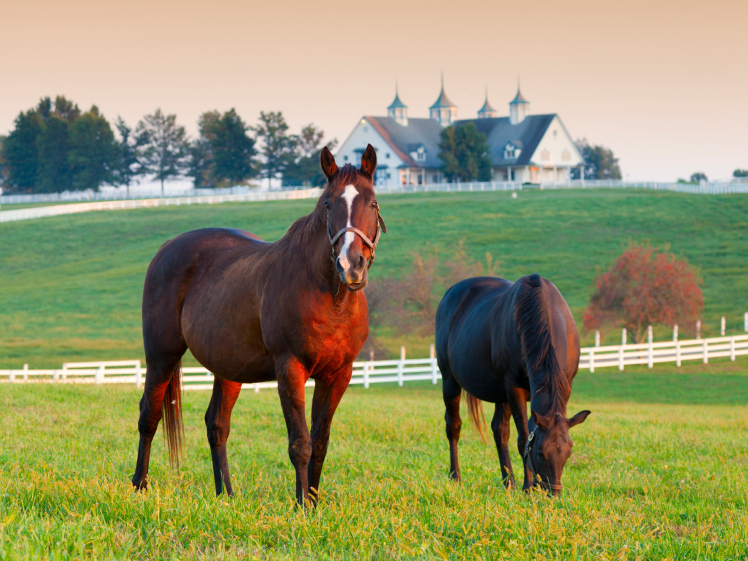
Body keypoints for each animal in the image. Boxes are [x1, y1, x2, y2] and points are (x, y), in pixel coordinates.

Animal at [131, 145, 386, 505]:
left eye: (373, 203)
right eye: (328, 204)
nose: (351, 265)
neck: (329, 298)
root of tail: (167, 248)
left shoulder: (338, 375)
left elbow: (320, 443)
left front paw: (314, 503)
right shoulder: (290, 368)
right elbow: (300, 444)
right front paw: (302, 507)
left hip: (228, 368)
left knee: (217, 424)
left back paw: (226, 494)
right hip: (161, 356)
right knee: (149, 416)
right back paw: (140, 485)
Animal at [435, 273, 590, 495]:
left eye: (568, 452)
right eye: (540, 453)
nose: (553, 493)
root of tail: (449, 294)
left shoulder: (564, 386)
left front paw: (525, 484)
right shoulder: (514, 387)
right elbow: (524, 437)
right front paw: (528, 487)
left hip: (500, 394)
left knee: (500, 431)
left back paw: (508, 482)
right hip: (450, 381)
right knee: (453, 426)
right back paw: (455, 476)